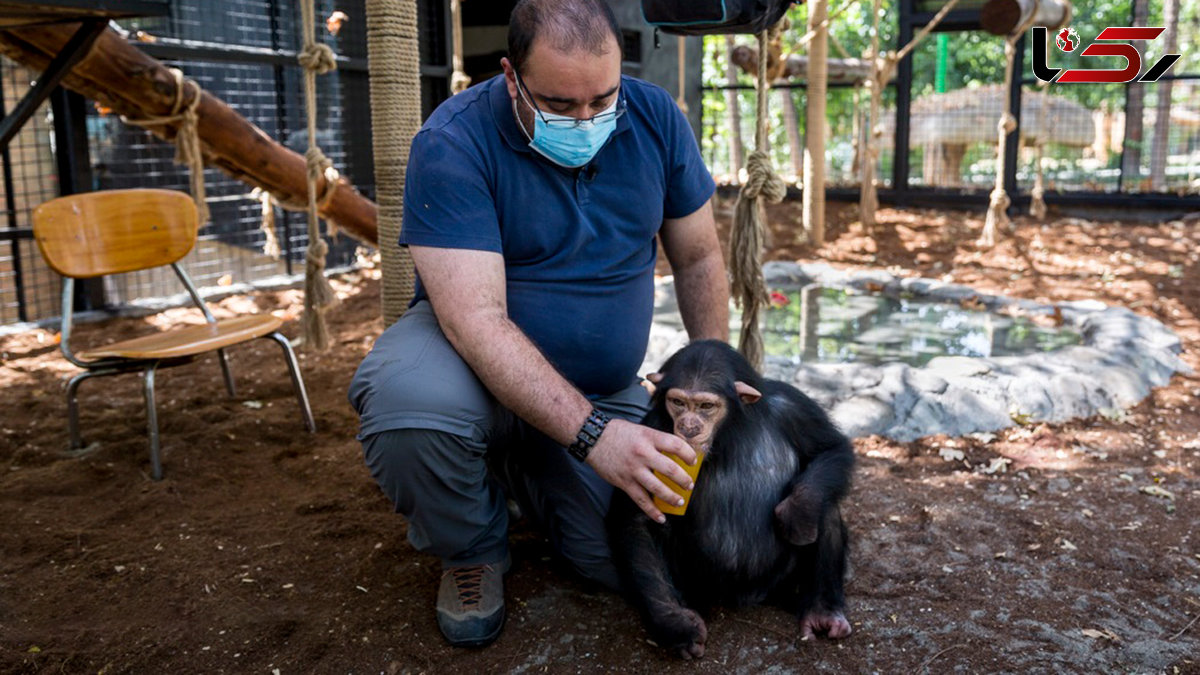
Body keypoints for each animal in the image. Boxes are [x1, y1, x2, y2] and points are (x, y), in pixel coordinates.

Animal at [609, 338, 854, 653]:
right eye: (678, 403)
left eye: (705, 406)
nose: (688, 427)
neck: (730, 432)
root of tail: (749, 597)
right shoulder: (648, 433)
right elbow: (636, 517)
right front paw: (675, 624)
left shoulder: (794, 407)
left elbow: (831, 448)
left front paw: (797, 511)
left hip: (782, 580)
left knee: (825, 505)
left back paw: (823, 610)